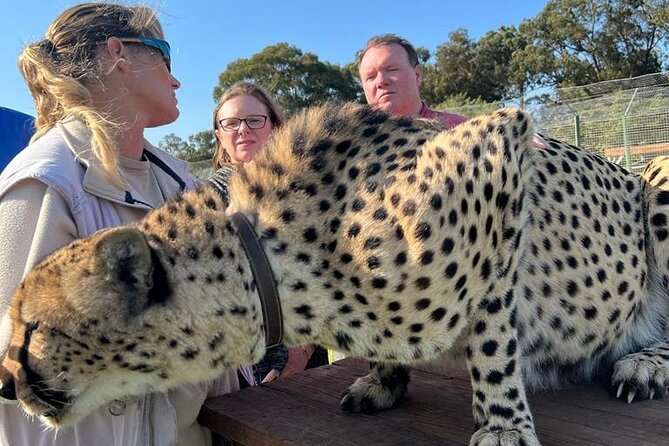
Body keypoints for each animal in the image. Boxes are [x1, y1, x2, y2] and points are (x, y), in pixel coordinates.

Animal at [1, 102, 669, 446]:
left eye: (32, 329)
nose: (6, 386)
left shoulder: (503, 151)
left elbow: (493, 341)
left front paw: (503, 426)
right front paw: (385, 380)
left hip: (655, 183)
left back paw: (644, 360)